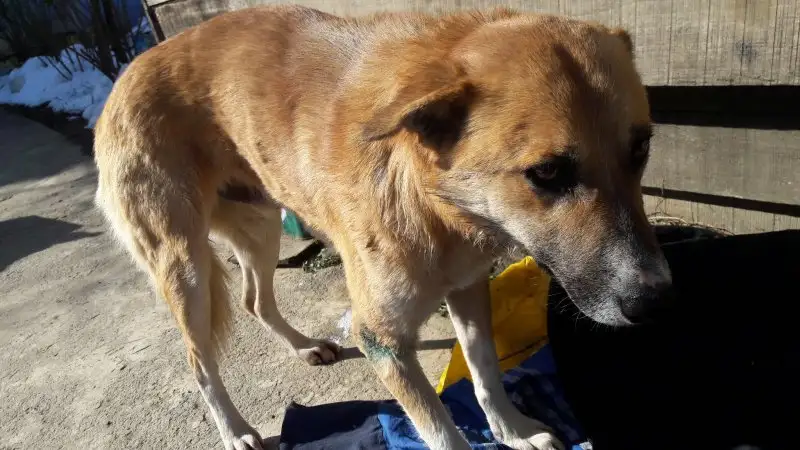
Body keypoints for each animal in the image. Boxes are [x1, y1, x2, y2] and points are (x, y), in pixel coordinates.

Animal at [94, 5, 673, 450]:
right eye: (548, 173)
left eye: (641, 148)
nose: (655, 303)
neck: (437, 204)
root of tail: (128, 71)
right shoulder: (383, 342)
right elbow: (443, 433)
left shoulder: (468, 287)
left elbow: (485, 374)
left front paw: (512, 431)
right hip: (185, 268)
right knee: (199, 361)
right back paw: (235, 430)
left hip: (260, 226)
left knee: (254, 300)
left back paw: (304, 346)